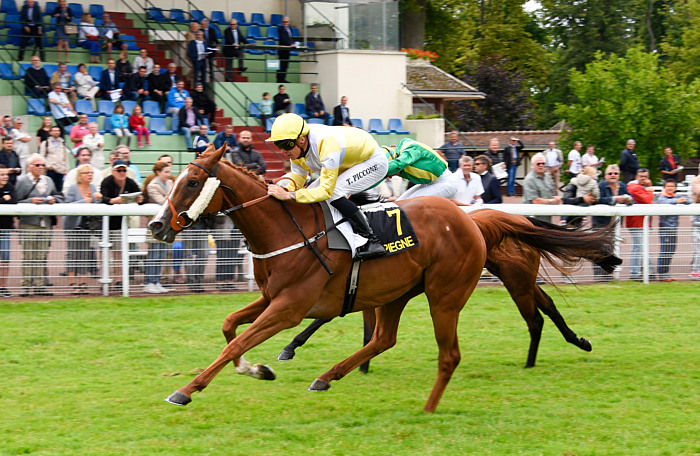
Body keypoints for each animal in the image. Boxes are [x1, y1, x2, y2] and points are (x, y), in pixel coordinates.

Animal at [148, 146, 616, 414]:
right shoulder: (271, 299)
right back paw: (329, 376)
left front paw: (187, 389)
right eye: (173, 178)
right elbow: (230, 328)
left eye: (192, 181)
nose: (156, 226)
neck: (286, 231)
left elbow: (237, 342)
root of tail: (471, 220)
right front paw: (258, 369)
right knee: (384, 338)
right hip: (398, 292)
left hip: (446, 294)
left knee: (461, 346)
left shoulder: (289, 307)